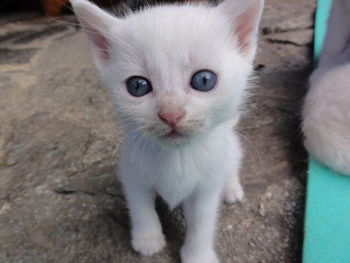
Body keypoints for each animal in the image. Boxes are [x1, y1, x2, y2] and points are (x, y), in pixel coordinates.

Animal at [71, 1, 262, 262]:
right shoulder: (132, 171)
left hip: (229, 148)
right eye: (137, 86)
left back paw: (231, 188)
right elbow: (140, 206)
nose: (171, 114)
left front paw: (198, 254)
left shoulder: (206, 186)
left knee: (233, 162)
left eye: (204, 80)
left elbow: (202, 221)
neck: (177, 156)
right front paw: (148, 239)